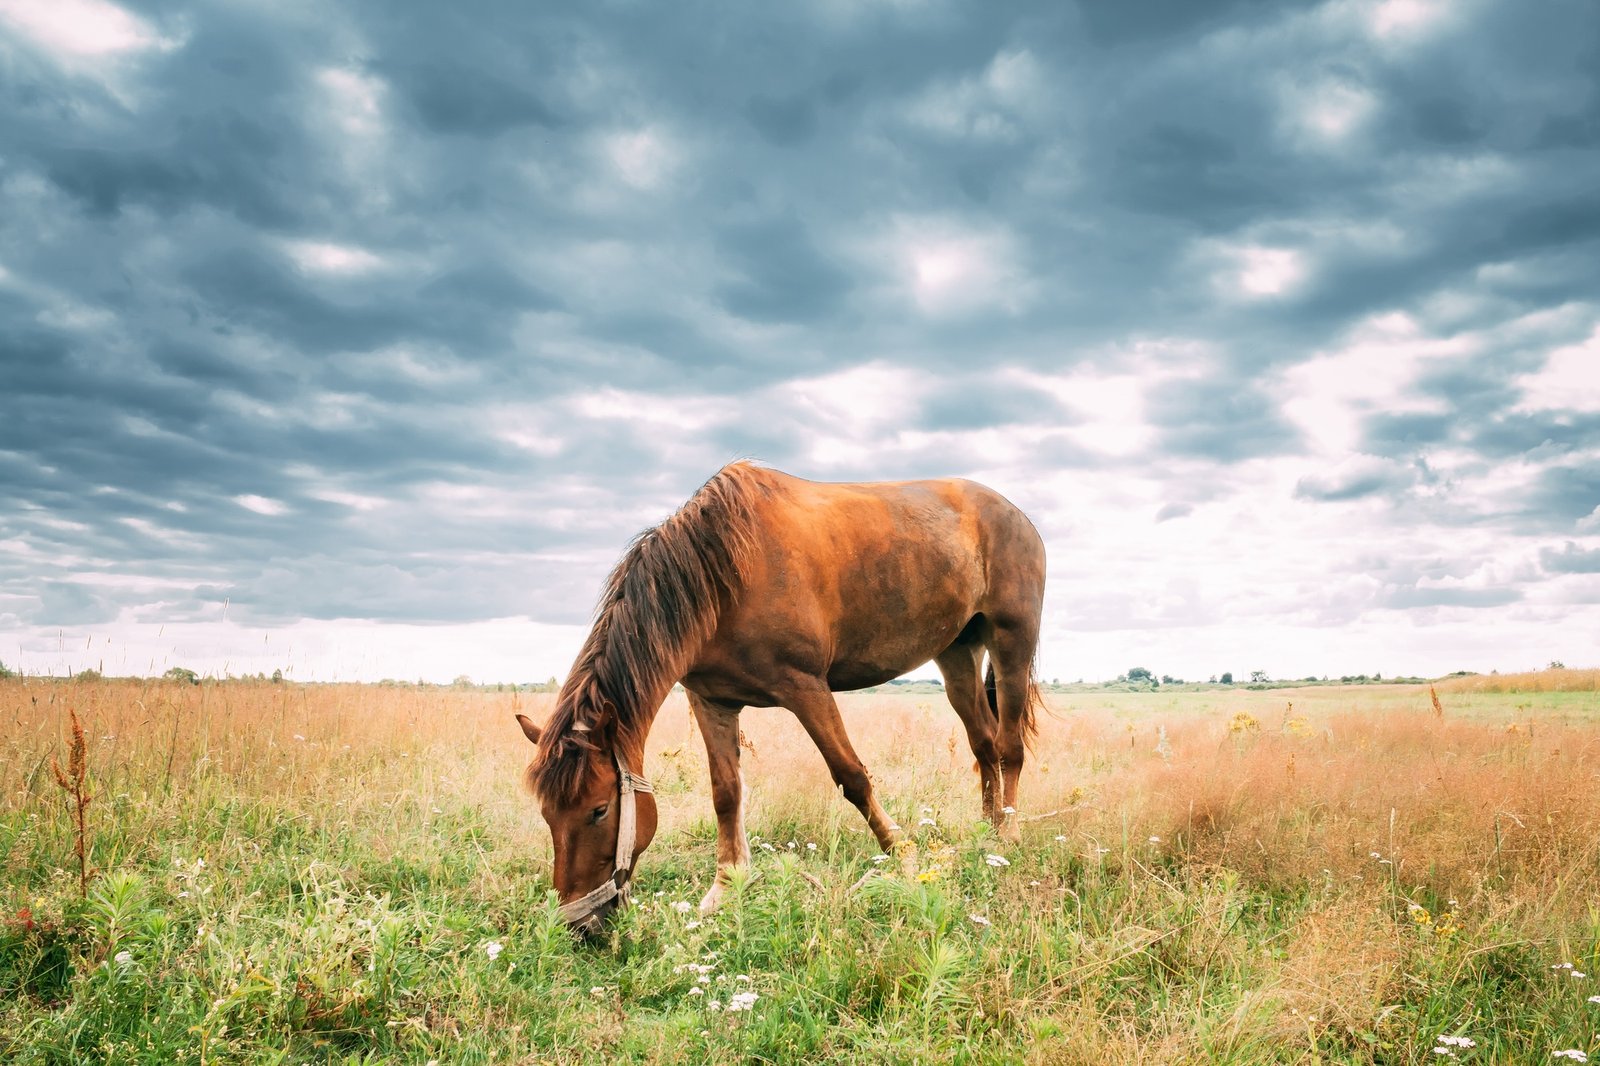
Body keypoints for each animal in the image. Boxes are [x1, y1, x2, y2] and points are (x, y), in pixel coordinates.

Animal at [515, 461, 1046, 932]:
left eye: (599, 809)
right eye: (546, 814)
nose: (578, 925)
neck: (723, 576)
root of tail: (1017, 515)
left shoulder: (807, 688)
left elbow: (852, 777)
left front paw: (903, 855)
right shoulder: (711, 702)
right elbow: (725, 792)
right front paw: (725, 888)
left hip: (1011, 643)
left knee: (1009, 747)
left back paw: (1010, 833)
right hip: (956, 653)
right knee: (983, 744)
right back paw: (987, 830)